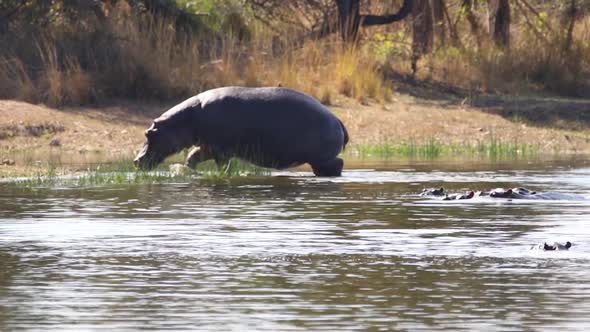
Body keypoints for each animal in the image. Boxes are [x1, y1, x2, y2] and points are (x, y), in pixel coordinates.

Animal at [132, 87, 350, 176]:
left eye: (149, 134)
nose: (135, 160)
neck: (186, 118)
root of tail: (337, 119)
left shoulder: (220, 149)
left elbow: (222, 165)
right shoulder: (208, 145)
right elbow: (193, 156)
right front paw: (190, 171)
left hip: (322, 157)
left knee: (337, 164)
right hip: (319, 159)